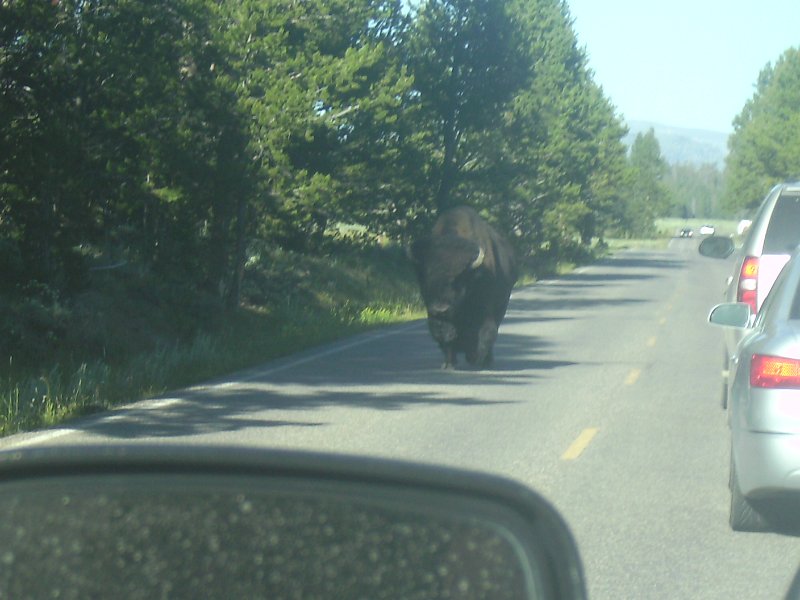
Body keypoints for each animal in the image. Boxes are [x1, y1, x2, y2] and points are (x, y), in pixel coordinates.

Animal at [410, 206, 516, 368]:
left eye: (458, 280)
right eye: (427, 278)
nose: (441, 308)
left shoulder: (486, 308)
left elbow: (486, 333)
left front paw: (478, 360)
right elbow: (445, 334)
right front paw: (448, 364)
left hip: (501, 305)